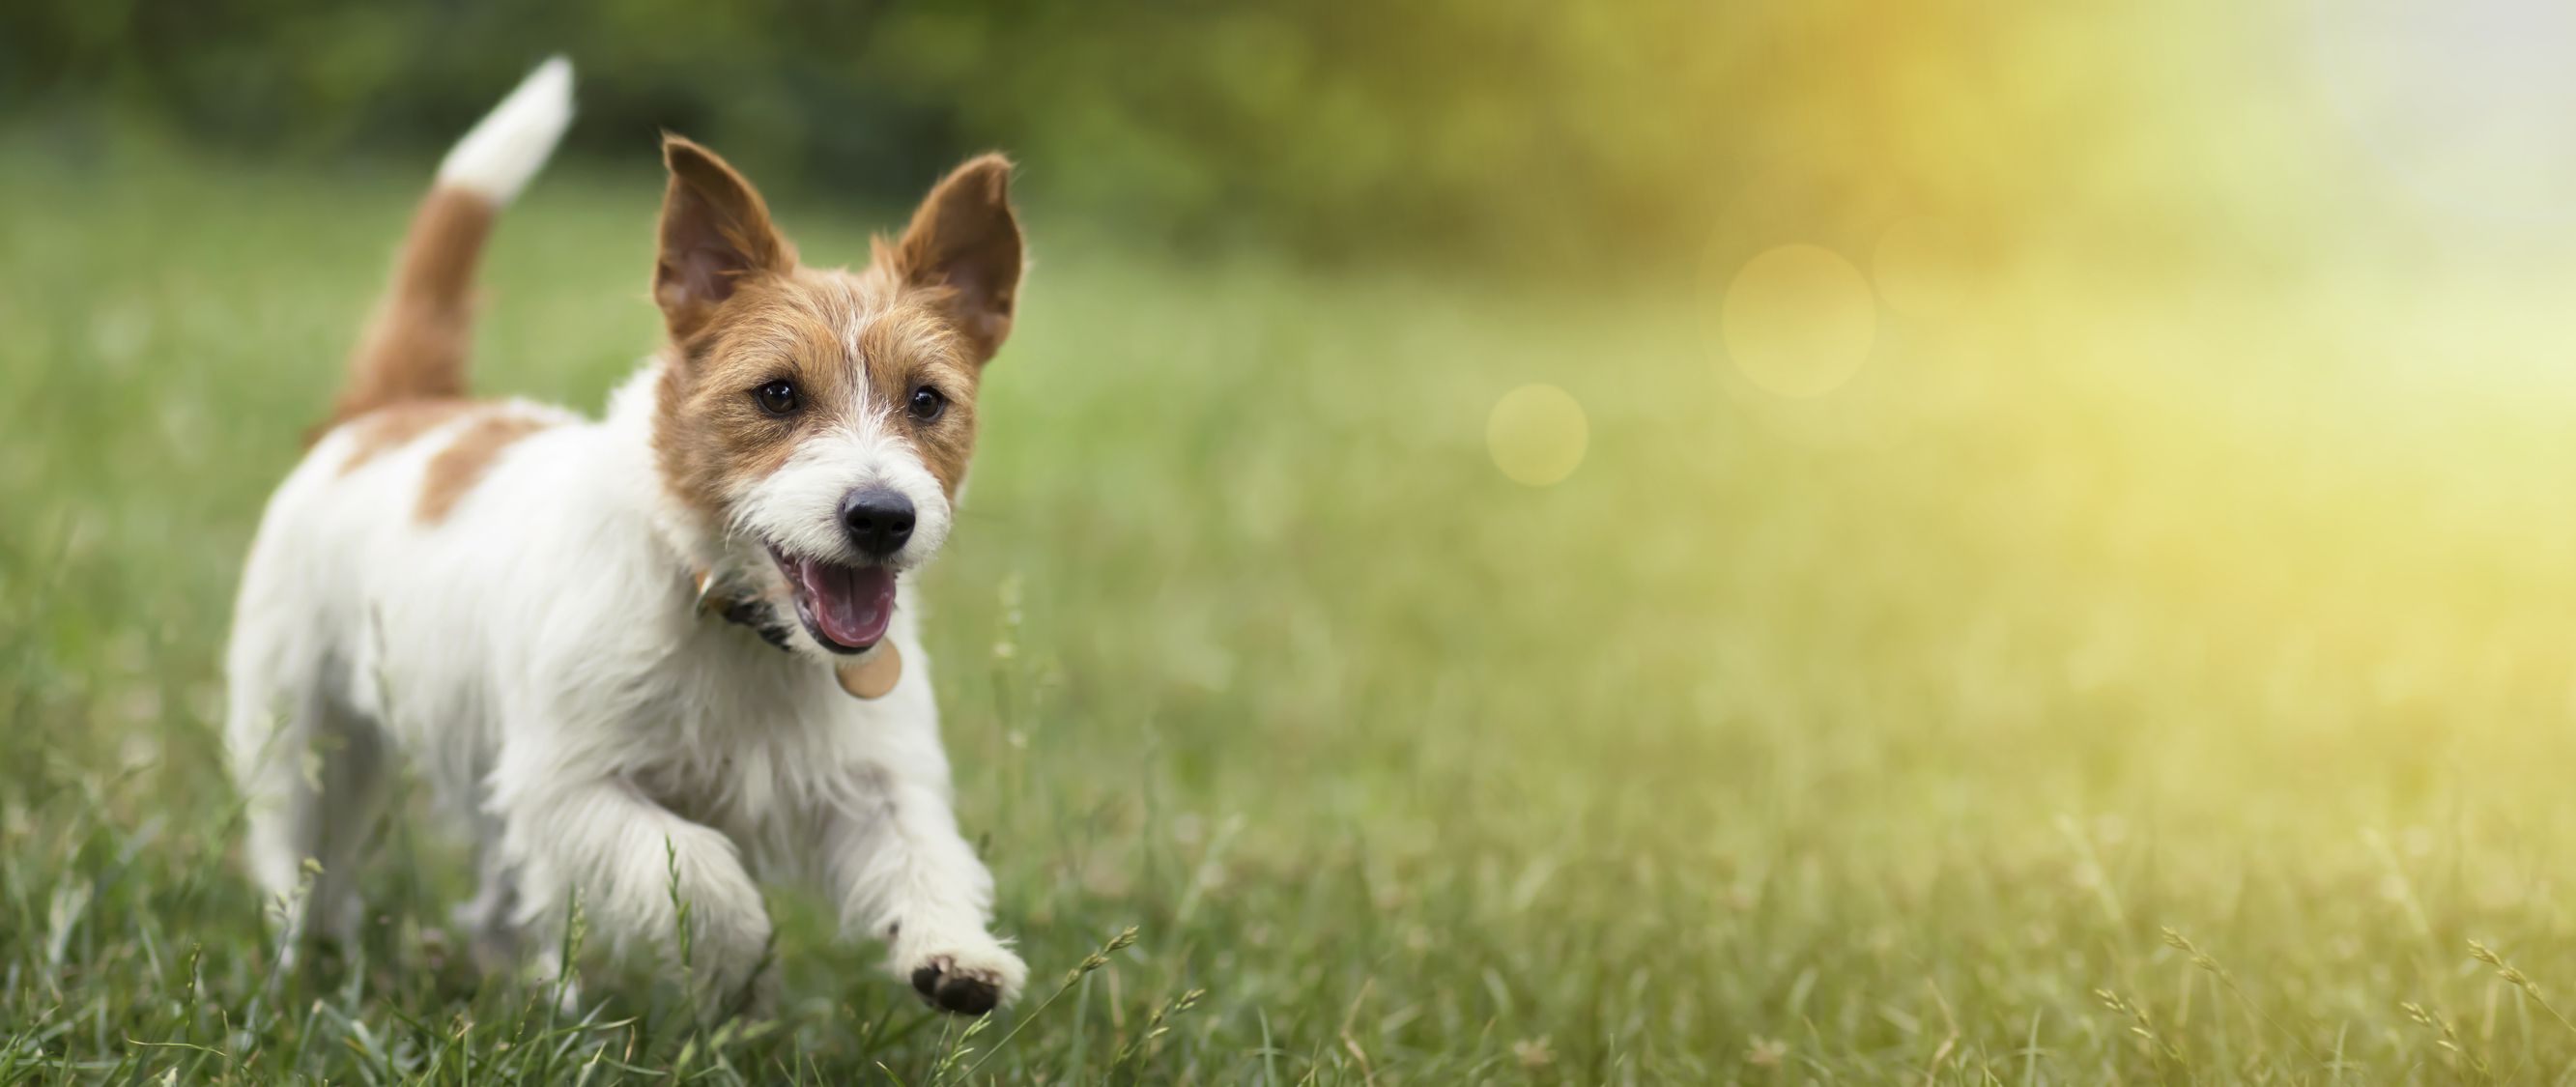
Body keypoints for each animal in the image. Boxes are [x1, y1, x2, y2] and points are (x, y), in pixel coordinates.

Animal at [221, 54, 1025, 1015]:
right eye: (778, 394)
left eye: (927, 400)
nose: (881, 516)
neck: (728, 611)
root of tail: (395, 406)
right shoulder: (572, 785)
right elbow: (704, 872)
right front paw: (736, 963)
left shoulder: (870, 780)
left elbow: (923, 851)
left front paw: (956, 950)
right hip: (305, 729)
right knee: (300, 849)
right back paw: (306, 957)